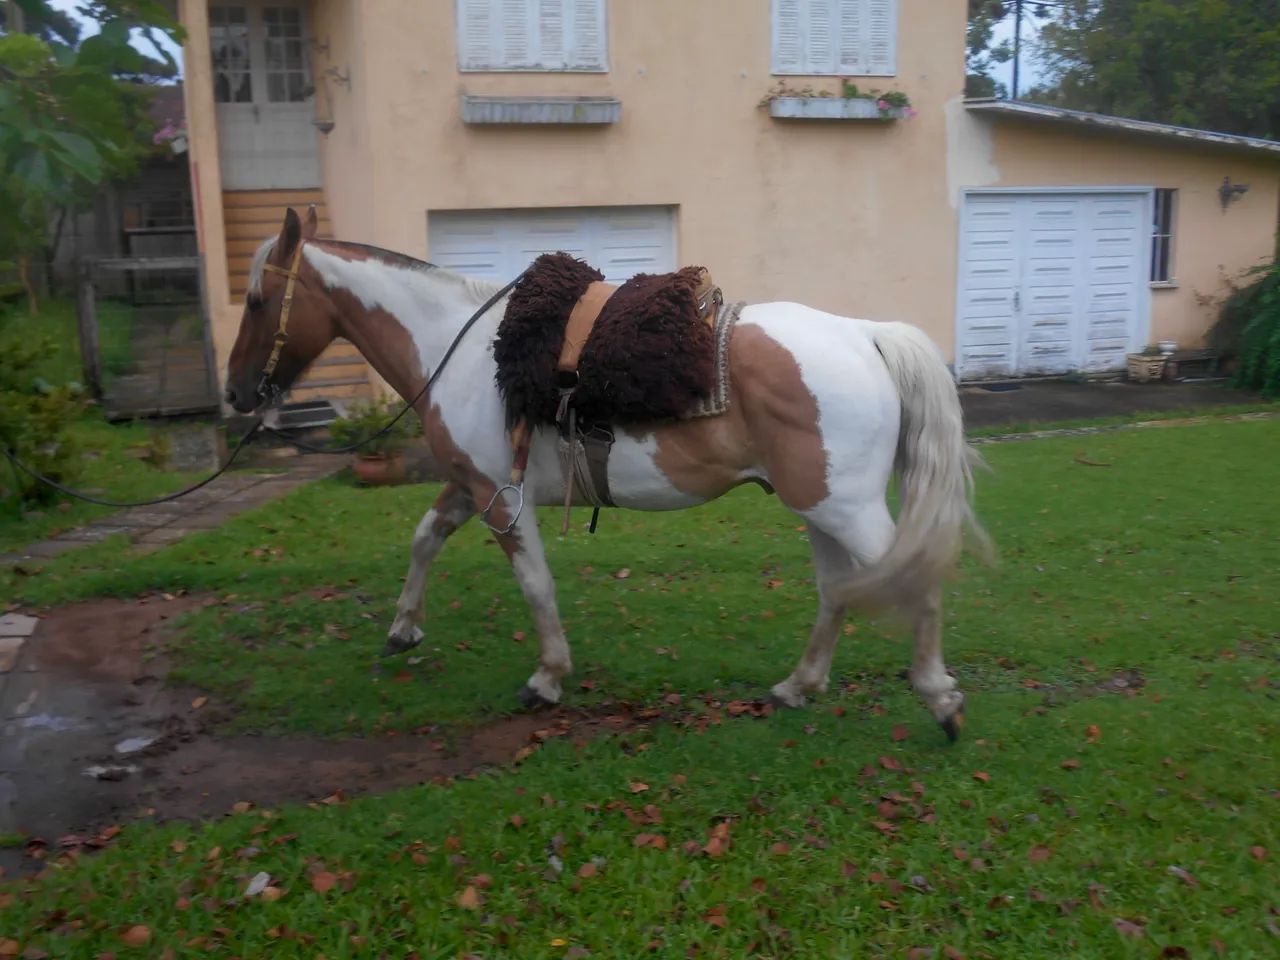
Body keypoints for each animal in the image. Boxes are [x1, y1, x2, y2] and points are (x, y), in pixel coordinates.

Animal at [224, 207, 988, 739]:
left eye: (257, 300)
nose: (236, 393)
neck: (458, 348)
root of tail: (865, 334)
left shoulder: (499, 498)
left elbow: (534, 583)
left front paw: (547, 678)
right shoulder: (471, 486)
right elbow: (424, 536)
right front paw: (403, 629)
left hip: (845, 508)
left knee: (911, 581)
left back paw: (940, 698)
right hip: (817, 504)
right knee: (838, 591)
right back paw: (798, 686)